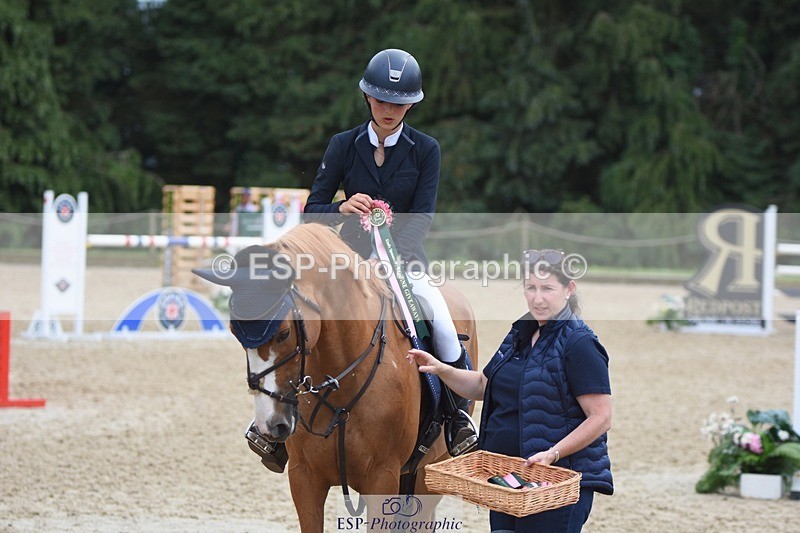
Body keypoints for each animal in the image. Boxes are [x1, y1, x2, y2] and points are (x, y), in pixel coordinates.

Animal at [195, 222, 478, 533]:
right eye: (234, 332)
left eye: (284, 333)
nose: (271, 424)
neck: (343, 381)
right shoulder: (304, 477)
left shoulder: (382, 477)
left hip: (430, 471)